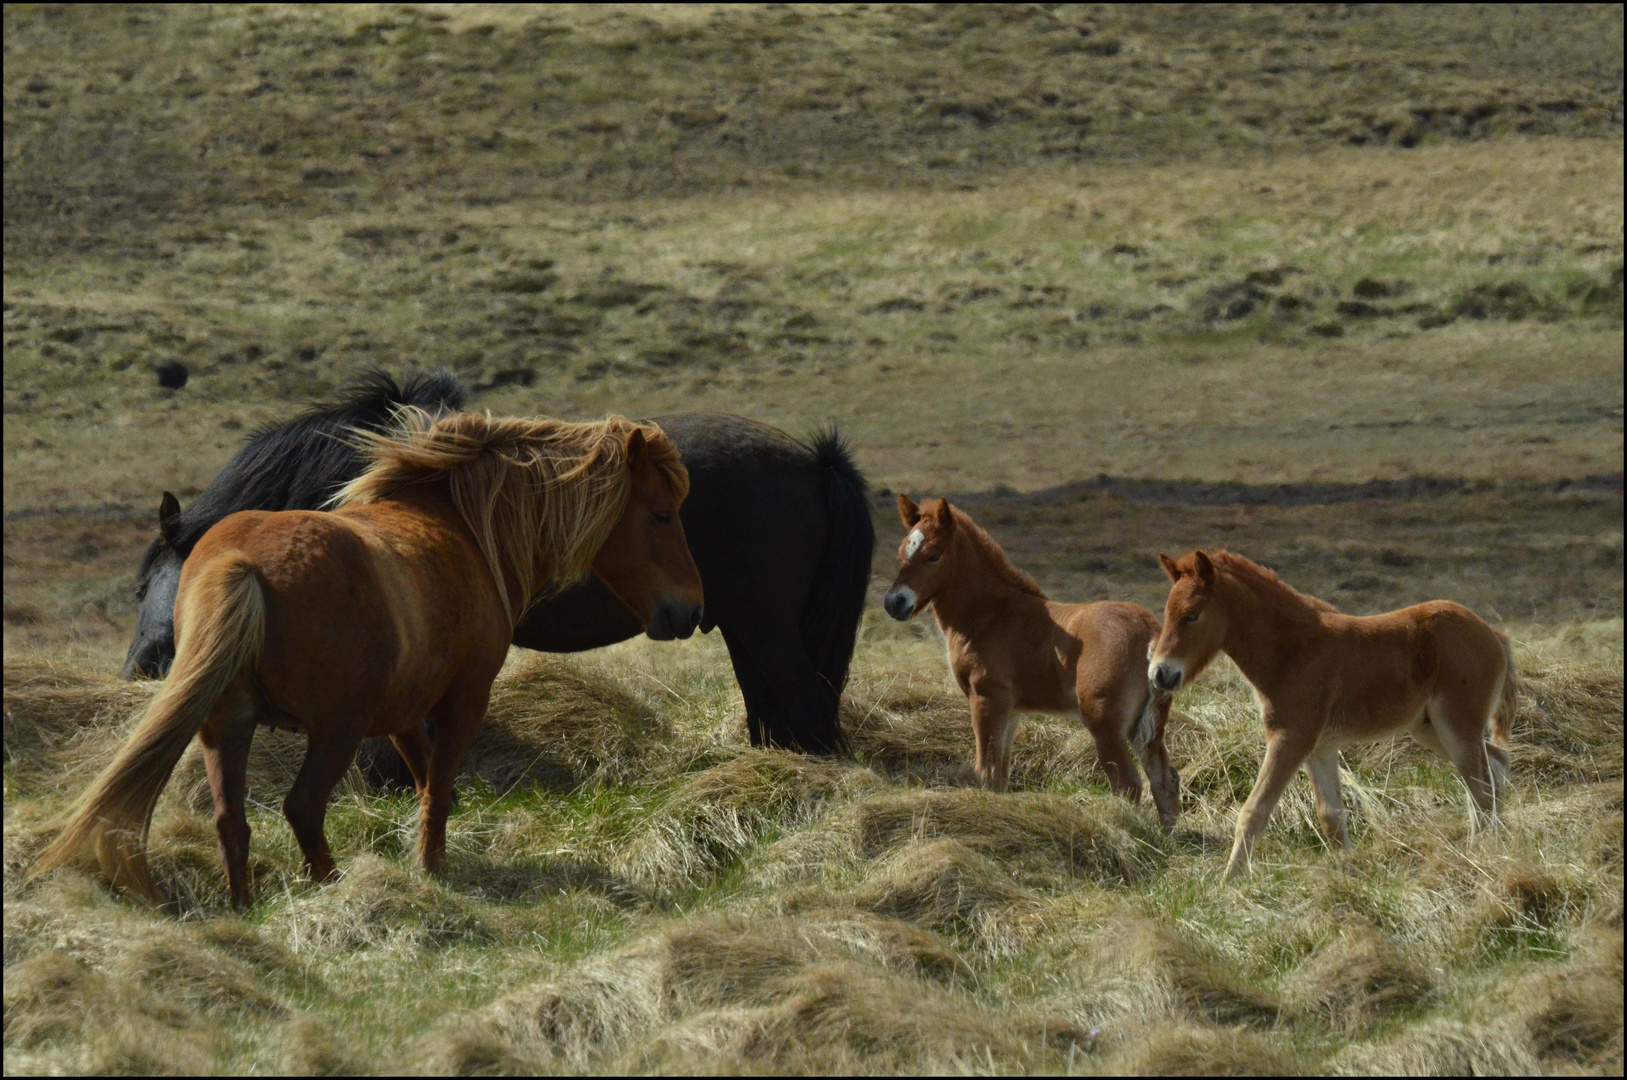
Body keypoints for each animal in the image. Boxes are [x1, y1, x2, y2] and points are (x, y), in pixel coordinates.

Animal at [31, 409, 702, 904]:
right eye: (661, 513)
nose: (688, 611)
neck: (460, 525)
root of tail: (241, 564)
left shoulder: (402, 716)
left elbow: (429, 780)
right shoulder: (463, 701)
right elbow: (438, 787)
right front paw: (431, 870)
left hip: (226, 729)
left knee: (231, 821)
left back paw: (244, 907)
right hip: (334, 731)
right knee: (302, 807)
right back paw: (331, 886)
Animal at [123, 367, 878, 754]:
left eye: (140, 588)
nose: (138, 670)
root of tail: (812, 460)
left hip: (764, 625)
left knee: (805, 701)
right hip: (744, 627)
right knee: (773, 709)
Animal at [1151, 549, 1516, 878]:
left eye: (1192, 615)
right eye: (1167, 613)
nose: (1159, 673)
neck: (1291, 651)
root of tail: (1492, 633)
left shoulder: (1289, 738)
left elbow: (1254, 811)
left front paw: (1230, 882)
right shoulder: (1319, 747)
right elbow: (1331, 816)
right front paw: (1348, 875)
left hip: (1456, 725)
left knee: (1481, 786)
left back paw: (1483, 854)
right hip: (1430, 729)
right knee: (1491, 767)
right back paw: (1487, 845)